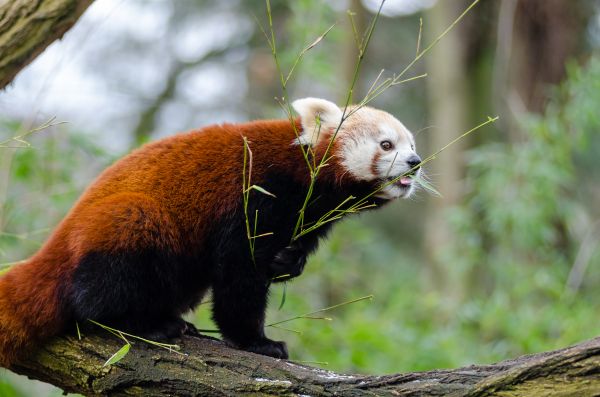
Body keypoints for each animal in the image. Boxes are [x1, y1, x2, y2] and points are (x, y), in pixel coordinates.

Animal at [0, 96, 422, 366]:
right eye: (387, 144)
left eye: (412, 144)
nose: (416, 162)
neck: (305, 176)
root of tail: (56, 243)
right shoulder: (256, 192)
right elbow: (239, 273)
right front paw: (256, 342)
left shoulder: (307, 217)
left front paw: (289, 262)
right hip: (122, 224)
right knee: (102, 285)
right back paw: (146, 324)